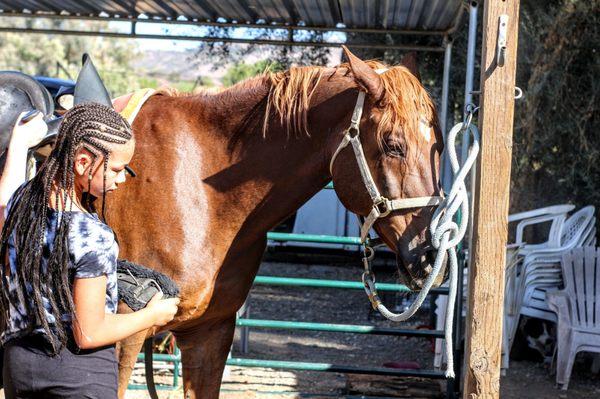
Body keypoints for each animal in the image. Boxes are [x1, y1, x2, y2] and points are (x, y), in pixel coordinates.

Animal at [108, 47, 446, 399]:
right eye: (393, 145)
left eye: (438, 144)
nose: (430, 256)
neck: (197, 186)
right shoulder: (123, 337)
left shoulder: (209, 331)